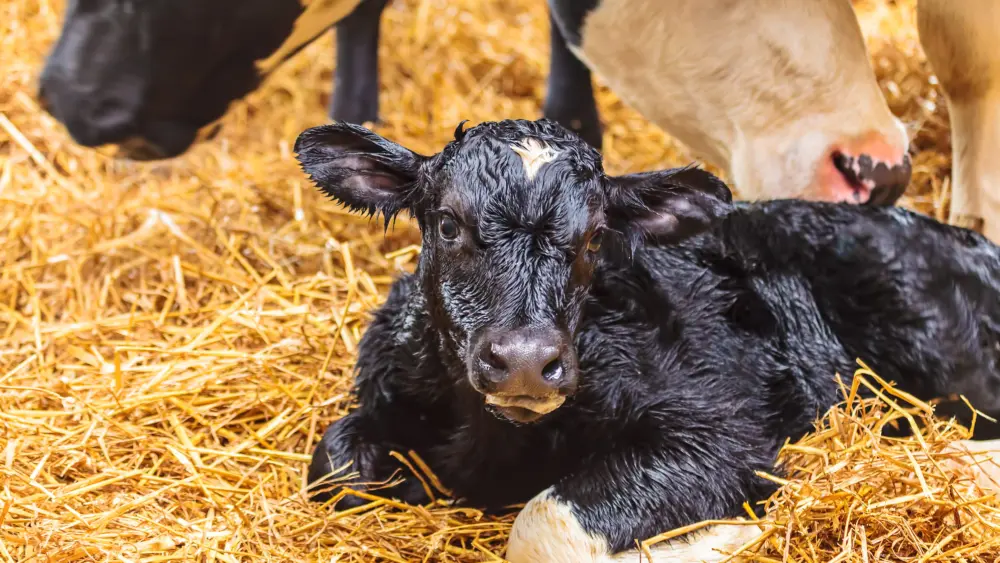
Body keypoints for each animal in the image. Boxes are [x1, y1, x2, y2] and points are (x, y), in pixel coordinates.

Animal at [294, 117, 1000, 562]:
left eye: (594, 239)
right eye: (447, 224)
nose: (524, 361)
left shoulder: (725, 431)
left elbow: (544, 526)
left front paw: (726, 538)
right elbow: (335, 467)